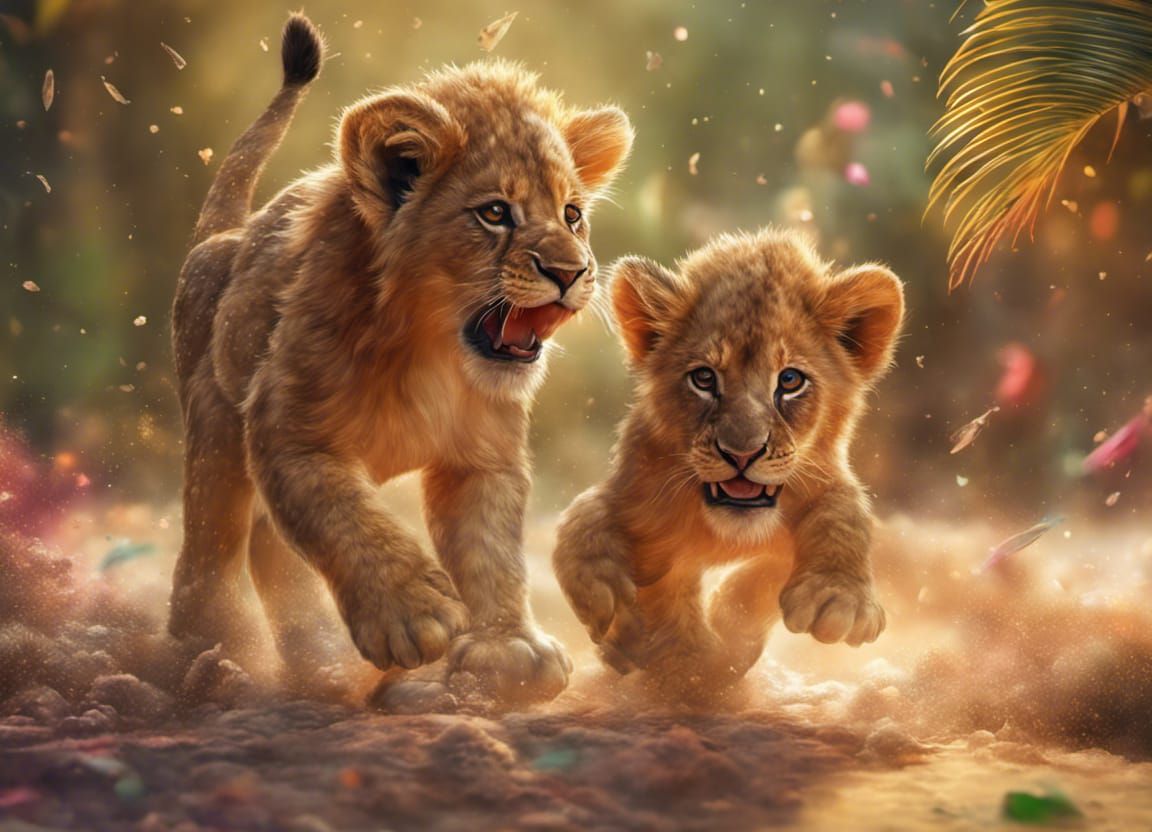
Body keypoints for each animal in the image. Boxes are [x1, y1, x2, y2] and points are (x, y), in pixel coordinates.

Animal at [168, 13, 633, 705]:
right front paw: (411, 616)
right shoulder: (284, 427)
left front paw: (509, 649)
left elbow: (491, 549)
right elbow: (339, 511)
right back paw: (209, 645)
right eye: (495, 212)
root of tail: (226, 235)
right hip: (215, 423)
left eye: (572, 214)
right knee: (213, 542)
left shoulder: (483, 457)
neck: (430, 352)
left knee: (269, 548)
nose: (572, 272)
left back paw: (317, 657)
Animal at [553, 229, 905, 695]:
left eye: (790, 380)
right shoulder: (635, 493)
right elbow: (583, 518)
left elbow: (843, 513)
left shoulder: (824, 480)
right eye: (704, 378)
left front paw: (836, 597)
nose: (741, 453)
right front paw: (619, 613)